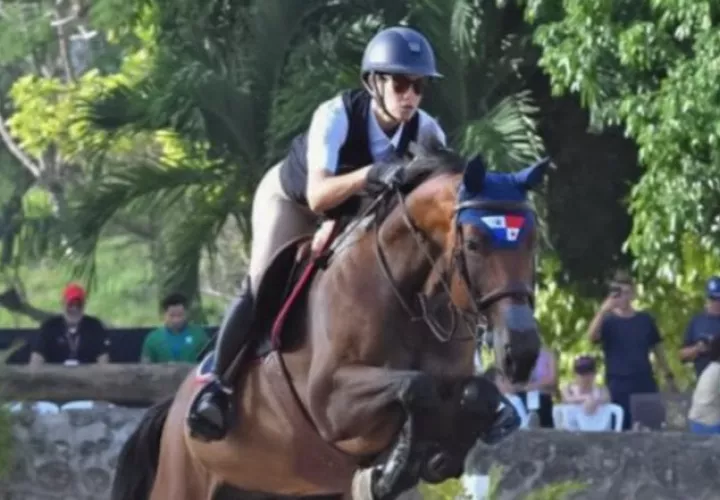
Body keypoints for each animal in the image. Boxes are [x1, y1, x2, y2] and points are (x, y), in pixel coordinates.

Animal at [111, 138, 548, 500]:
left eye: (532, 241)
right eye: (473, 243)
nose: (522, 352)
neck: (408, 299)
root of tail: (173, 407)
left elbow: (477, 392)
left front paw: (436, 455)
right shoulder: (330, 402)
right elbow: (415, 387)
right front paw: (394, 467)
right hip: (182, 480)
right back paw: (210, 404)